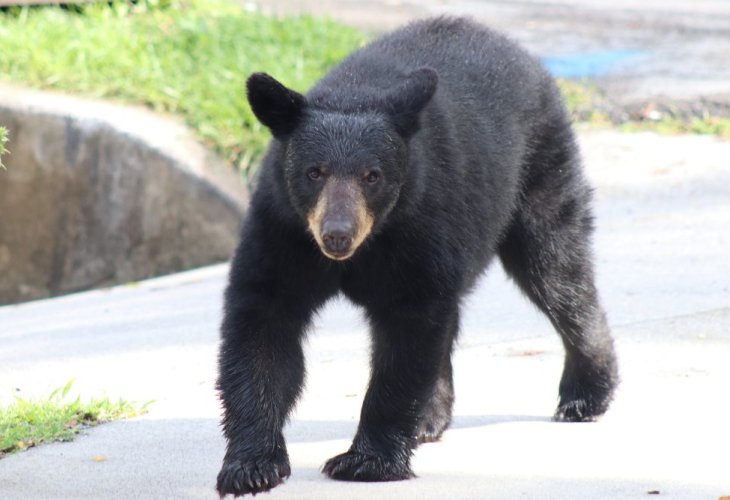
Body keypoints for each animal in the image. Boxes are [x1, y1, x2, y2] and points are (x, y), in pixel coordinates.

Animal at [215, 15, 616, 496]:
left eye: (373, 175)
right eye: (315, 172)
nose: (337, 235)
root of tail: (513, 47)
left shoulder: (419, 223)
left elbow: (409, 335)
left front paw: (366, 461)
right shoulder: (283, 230)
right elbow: (263, 325)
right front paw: (250, 465)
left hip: (540, 171)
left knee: (558, 270)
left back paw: (585, 393)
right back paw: (430, 417)